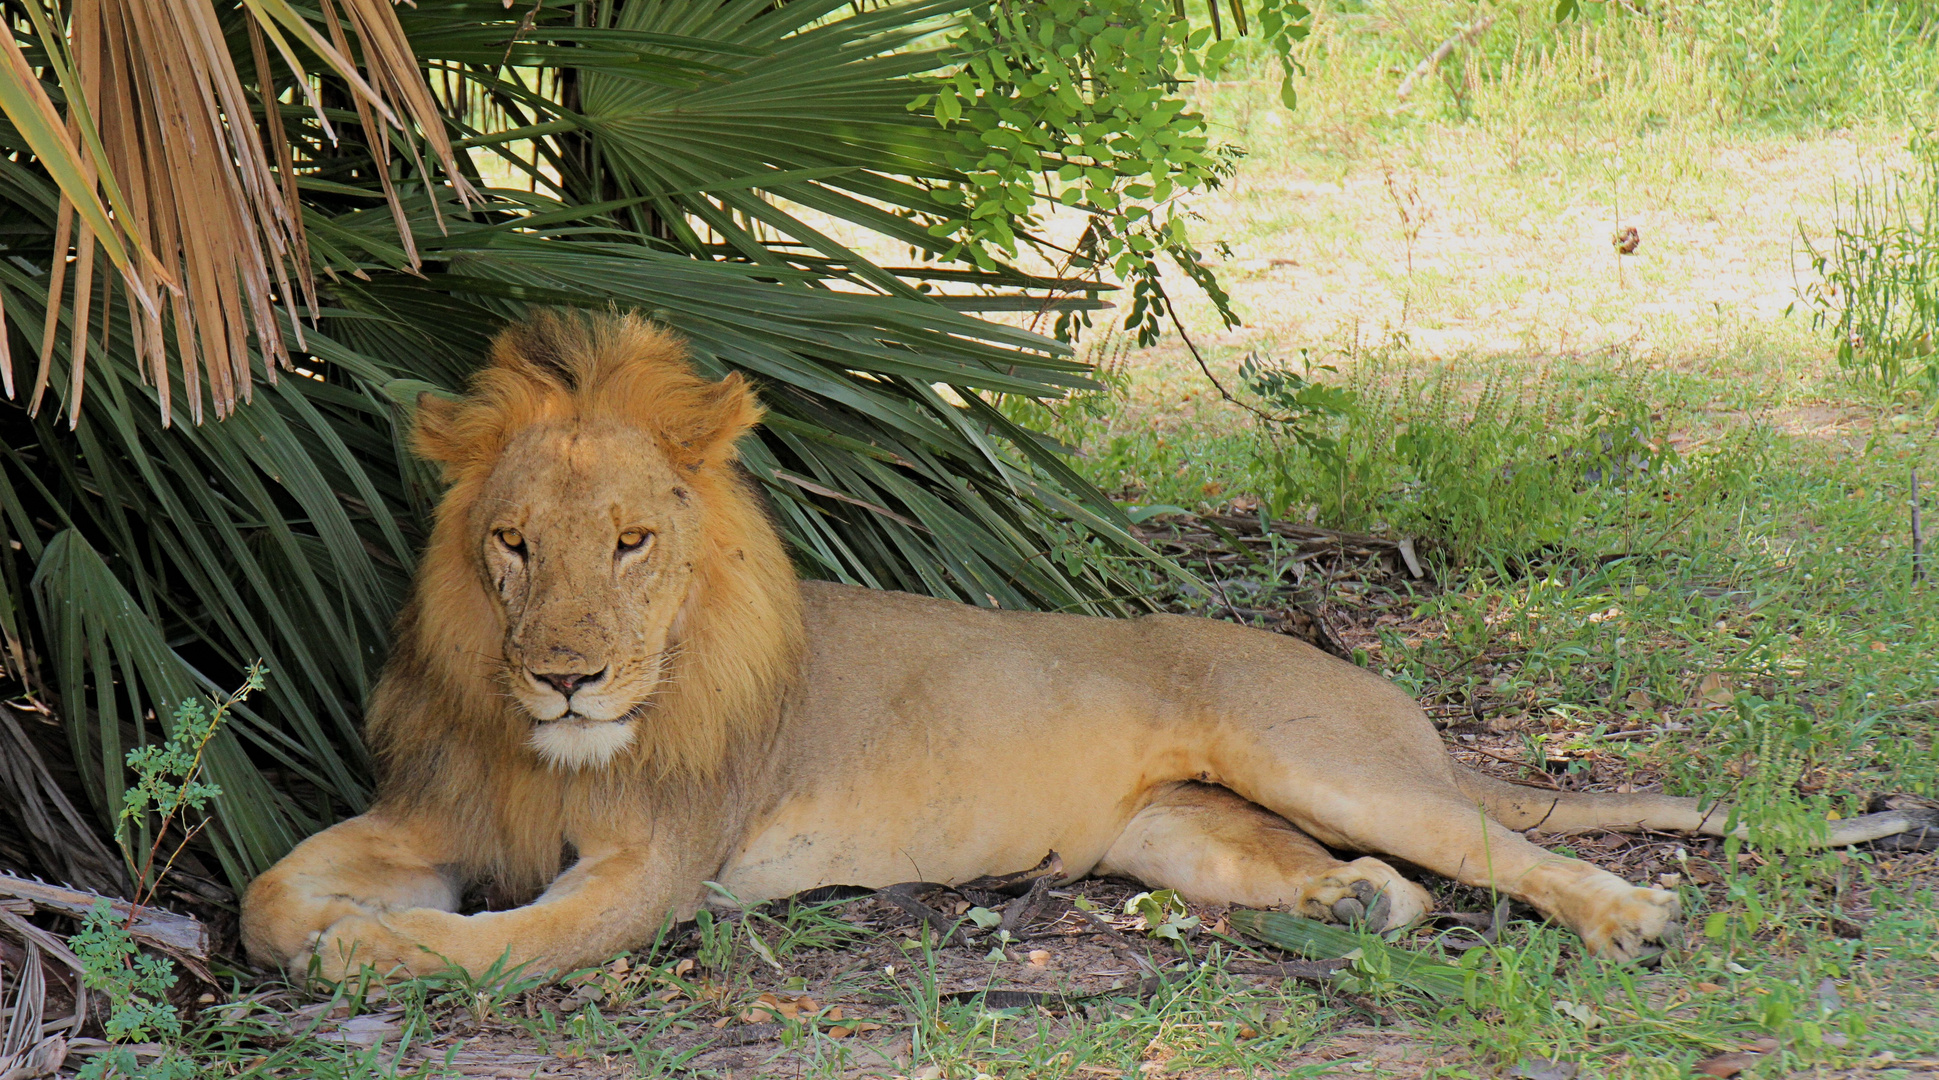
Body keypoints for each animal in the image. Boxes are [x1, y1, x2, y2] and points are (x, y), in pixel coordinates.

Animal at [242, 312, 1939, 977]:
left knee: (1502, 847)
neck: (552, 740)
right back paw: (1353, 908)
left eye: (631, 544)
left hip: (1312, 752)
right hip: (1173, 829)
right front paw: (324, 920)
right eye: (513, 546)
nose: (565, 671)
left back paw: (1626, 919)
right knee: (1372, 874)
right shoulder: (444, 811)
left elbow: (488, 946)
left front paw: (374, 946)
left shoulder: (658, 867)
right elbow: (266, 895)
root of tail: (1382, 695)